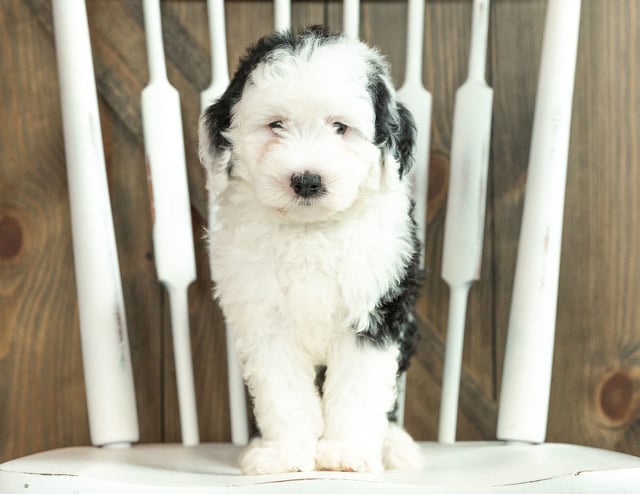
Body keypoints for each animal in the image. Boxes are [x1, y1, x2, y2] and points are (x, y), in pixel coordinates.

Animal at [198, 26, 422, 474]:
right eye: (275, 125)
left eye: (340, 127)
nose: (306, 180)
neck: (310, 231)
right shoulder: (264, 320)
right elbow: (282, 392)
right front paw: (284, 454)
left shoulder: (376, 312)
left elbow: (358, 388)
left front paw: (346, 452)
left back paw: (394, 447)